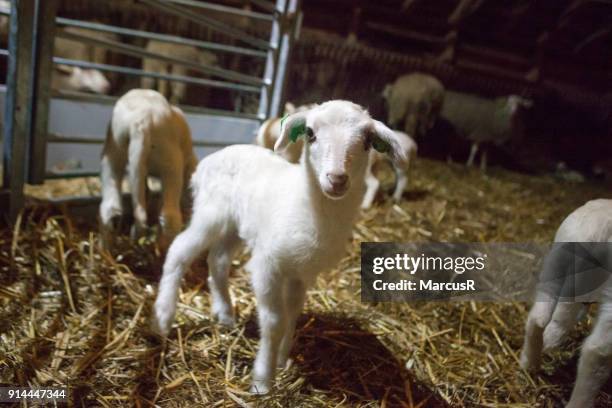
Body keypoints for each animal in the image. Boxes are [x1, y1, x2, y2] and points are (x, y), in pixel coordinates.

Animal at [99, 88, 197, 249]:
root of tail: (142, 122)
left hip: (114, 153)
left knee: (111, 208)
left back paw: (106, 249)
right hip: (170, 163)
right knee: (169, 217)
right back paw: (162, 247)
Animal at [152, 100, 412, 394]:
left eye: (368, 141)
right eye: (310, 133)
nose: (337, 179)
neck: (308, 207)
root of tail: (209, 160)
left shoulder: (301, 273)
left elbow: (292, 315)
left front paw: (282, 360)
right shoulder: (268, 265)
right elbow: (275, 321)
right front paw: (263, 380)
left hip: (237, 225)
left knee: (217, 260)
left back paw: (225, 314)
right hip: (211, 213)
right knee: (179, 250)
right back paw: (163, 317)